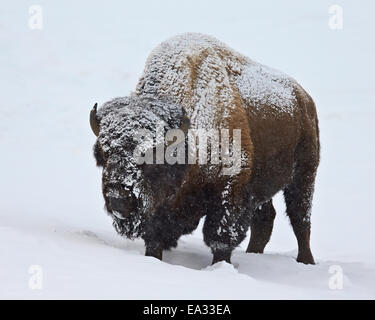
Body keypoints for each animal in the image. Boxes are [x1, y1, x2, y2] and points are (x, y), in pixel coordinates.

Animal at [90, 33, 320, 266]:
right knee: (265, 219)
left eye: (152, 157)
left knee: (300, 219)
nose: (118, 199)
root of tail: (304, 99)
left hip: (304, 175)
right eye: (103, 154)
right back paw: (253, 254)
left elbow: (220, 238)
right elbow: (154, 239)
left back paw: (306, 261)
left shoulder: (230, 191)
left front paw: (221, 266)